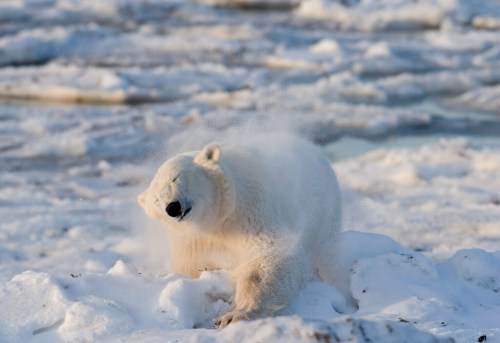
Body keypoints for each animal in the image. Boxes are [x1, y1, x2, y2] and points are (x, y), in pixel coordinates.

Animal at [137, 134, 342, 328]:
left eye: (176, 177)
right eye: (156, 199)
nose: (172, 207)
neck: (215, 218)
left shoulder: (249, 211)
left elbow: (267, 255)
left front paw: (234, 315)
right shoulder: (192, 239)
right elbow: (191, 266)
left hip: (323, 213)